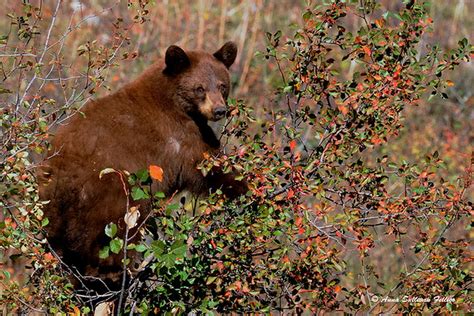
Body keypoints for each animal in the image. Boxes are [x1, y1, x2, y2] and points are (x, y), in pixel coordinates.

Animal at [37, 42, 248, 288]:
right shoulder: (181, 134)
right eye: (200, 88)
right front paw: (244, 186)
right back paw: (112, 276)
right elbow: (207, 164)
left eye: (222, 86)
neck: (172, 98)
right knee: (111, 236)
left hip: (54, 215)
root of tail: (61, 179)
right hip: (110, 194)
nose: (219, 111)